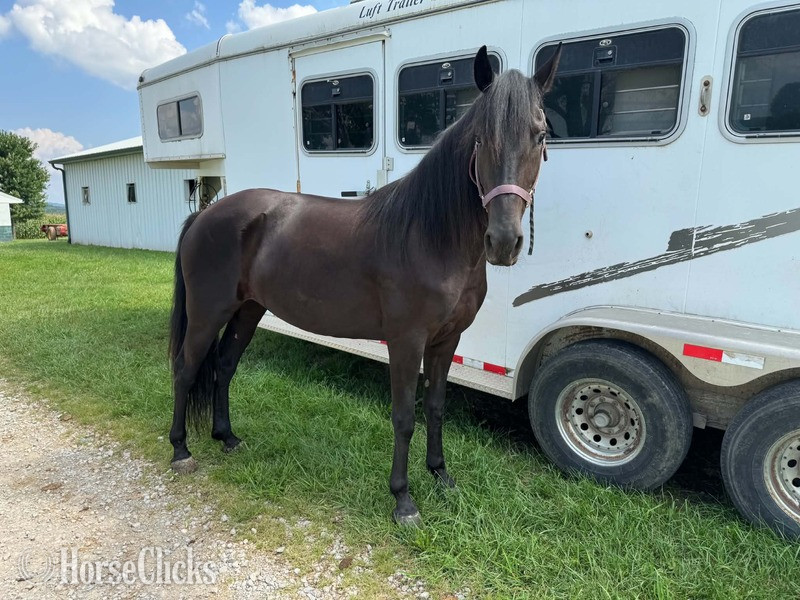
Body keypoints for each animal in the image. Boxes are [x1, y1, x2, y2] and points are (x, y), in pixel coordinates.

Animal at [168, 45, 562, 525]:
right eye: (482, 139)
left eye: (540, 137)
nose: (503, 242)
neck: (430, 235)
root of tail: (205, 214)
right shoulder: (406, 340)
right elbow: (404, 416)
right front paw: (403, 499)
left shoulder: (447, 340)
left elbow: (436, 408)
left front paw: (441, 475)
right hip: (209, 311)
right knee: (186, 369)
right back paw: (181, 450)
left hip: (248, 310)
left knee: (224, 367)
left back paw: (227, 437)